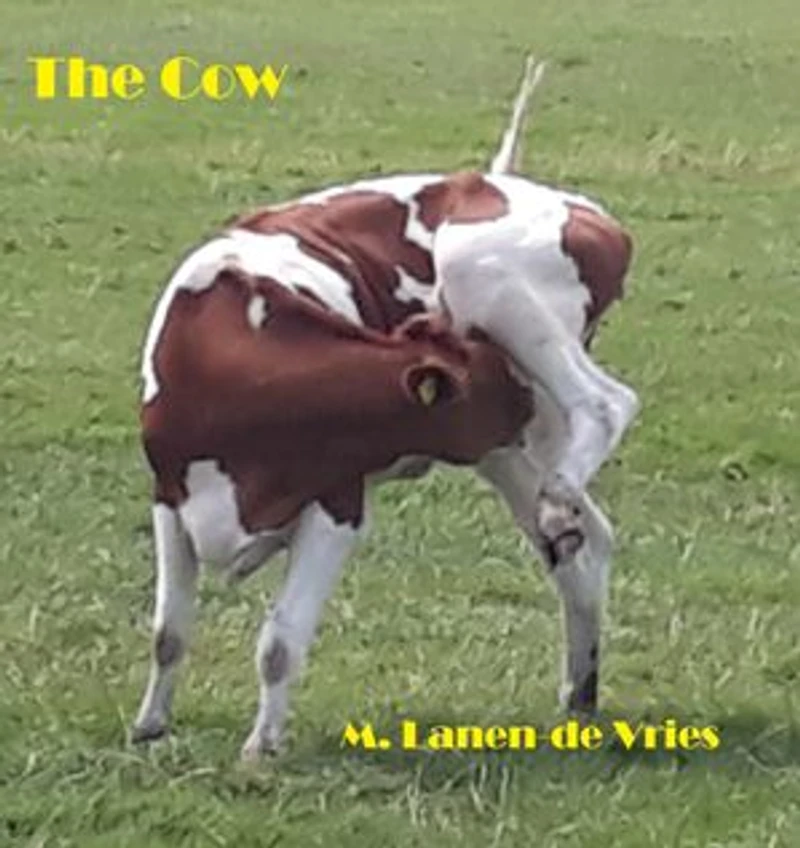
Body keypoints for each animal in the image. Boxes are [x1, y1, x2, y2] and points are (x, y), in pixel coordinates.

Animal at [131, 56, 639, 758]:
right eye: (488, 382)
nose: (516, 389)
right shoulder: (169, 496)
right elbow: (168, 631)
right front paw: (150, 723)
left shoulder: (339, 506)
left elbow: (280, 642)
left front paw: (262, 748)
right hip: (515, 445)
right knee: (582, 543)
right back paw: (579, 690)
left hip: (487, 283)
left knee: (608, 403)